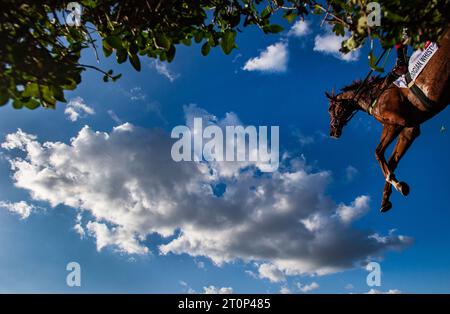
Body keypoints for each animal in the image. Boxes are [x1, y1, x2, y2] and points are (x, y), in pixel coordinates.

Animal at [326, 27, 450, 213]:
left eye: (330, 110)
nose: (332, 131)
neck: (376, 94)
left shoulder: (397, 123)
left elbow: (378, 153)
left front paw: (397, 184)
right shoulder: (409, 130)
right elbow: (391, 161)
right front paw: (387, 197)